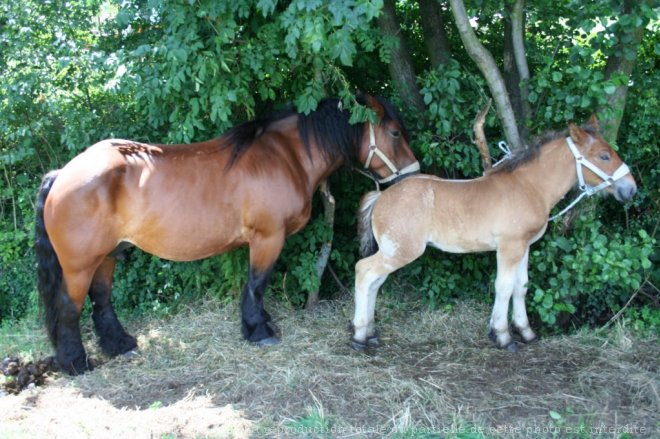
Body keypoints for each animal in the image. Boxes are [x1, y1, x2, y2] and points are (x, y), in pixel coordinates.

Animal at [36, 96, 418, 374]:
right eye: (395, 133)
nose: (411, 176)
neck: (286, 156)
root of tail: (63, 173)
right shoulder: (267, 238)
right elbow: (257, 283)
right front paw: (258, 330)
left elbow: (255, 285)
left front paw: (261, 323)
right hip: (79, 264)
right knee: (69, 308)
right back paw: (76, 363)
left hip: (106, 256)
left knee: (102, 301)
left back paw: (121, 345)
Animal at [354, 115, 636, 352]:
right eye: (604, 156)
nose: (631, 189)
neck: (528, 187)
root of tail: (381, 196)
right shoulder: (509, 248)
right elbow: (504, 287)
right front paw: (502, 336)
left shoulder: (525, 246)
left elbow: (521, 286)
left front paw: (526, 332)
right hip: (401, 251)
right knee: (364, 272)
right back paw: (358, 336)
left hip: (392, 251)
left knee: (375, 282)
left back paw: (370, 333)